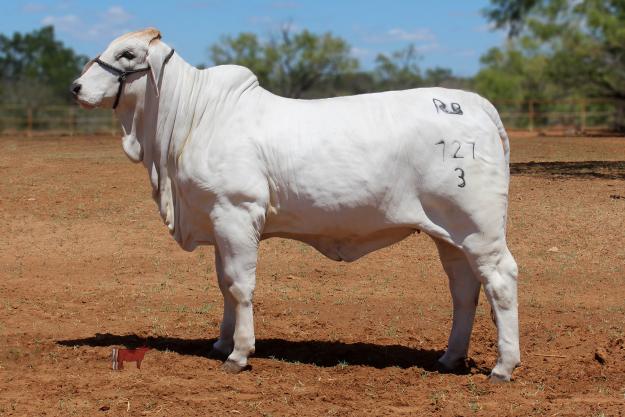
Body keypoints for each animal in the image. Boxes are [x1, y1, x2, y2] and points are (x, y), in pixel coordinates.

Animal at [71, 28, 520, 381]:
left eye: (127, 54)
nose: (76, 87)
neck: (192, 119)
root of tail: (475, 104)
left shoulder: (236, 213)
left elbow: (240, 285)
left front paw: (239, 353)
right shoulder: (217, 221)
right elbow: (223, 285)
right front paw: (221, 342)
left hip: (480, 227)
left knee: (500, 280)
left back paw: (503, 366)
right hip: (448, 234)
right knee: (464, 289)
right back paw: (449, 357)